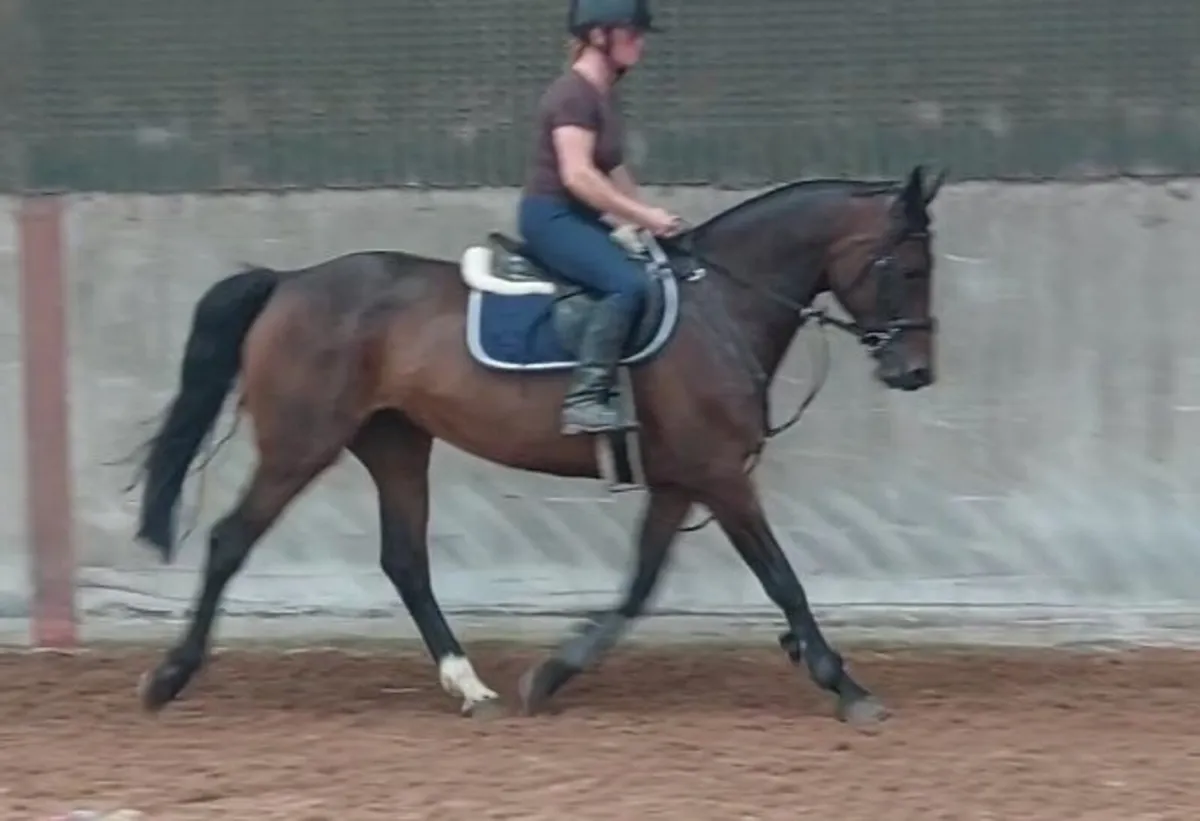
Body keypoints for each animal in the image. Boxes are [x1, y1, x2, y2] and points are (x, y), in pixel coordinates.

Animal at [132, 163, 942, 726]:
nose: (916, 372)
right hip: (302, 442)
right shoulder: (720, 476)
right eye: (908, 268)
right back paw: (169, 677)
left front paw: (553, 672)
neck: (722, 305)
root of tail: (290, 280)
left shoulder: (681, 482)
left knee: (405, 560)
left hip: (395, 442)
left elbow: (640, 585)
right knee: (231, 540)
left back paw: (472, 687)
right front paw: (848, 686)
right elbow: (783, 580)